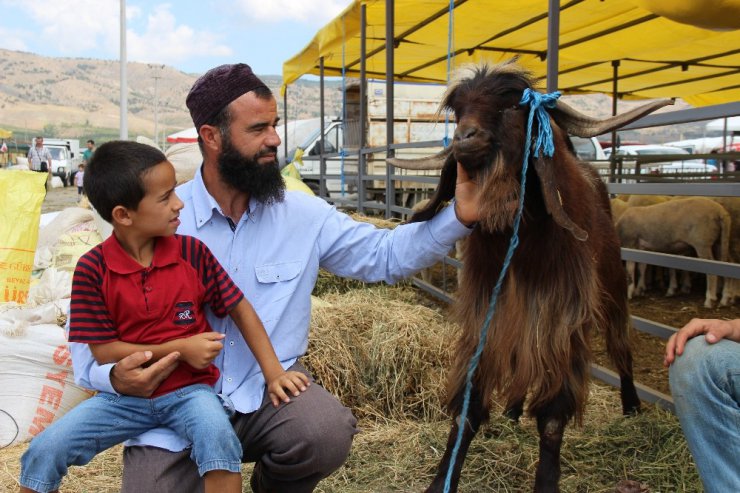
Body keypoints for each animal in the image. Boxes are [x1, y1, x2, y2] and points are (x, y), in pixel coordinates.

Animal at [388, 62, 672, 492]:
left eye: (510, 106)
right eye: (459, 110)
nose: (464, 139)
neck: (519, 241)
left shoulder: (562, 316)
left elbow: (553, 418)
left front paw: (546, 481)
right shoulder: (488, 313)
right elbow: (468, 408)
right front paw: (441, 480)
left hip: (613, 285)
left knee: (621, 346)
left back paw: (632, 406)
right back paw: (512, 410)